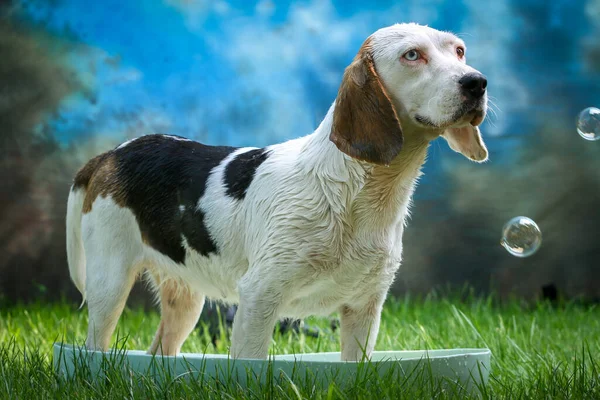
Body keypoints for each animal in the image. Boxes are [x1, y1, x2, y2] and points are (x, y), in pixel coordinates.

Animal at [65, 21, 488, 360]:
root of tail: (111, 154)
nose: (477, 83)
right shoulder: (259, 298)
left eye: (459, 51)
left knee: (160, 353)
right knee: (95, 347)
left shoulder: (364, 310)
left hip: (185, 300)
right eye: (412, 55)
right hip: (109, 285)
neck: (356, 192)